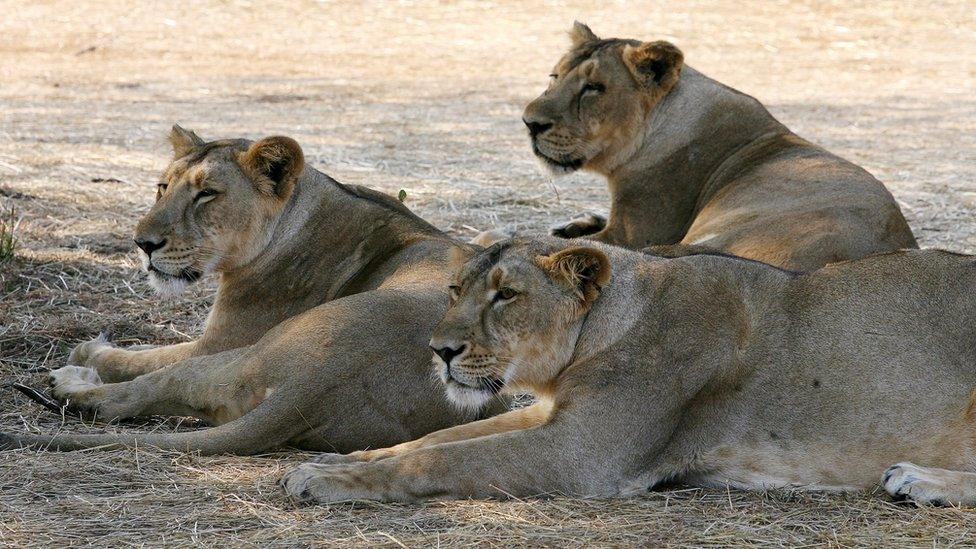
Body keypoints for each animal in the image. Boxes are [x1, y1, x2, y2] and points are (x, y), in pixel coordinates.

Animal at [0, 126, 508, 452]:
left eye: (206, 194)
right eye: (162, 187)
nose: (142, 244)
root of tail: (313, 387)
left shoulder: (218, 340)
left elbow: (136, 358)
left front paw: (91, 350)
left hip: (240, 354)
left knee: (139, 391)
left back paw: (72, 382)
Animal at [278, 235, 976, 506]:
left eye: (506, 296)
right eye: (456, 289)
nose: (439, 349)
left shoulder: (585, 453)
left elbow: (444, 460)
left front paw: (327, 482)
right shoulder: (551, 415)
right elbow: (435, 439)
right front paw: (342, 460)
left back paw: (919, 480)